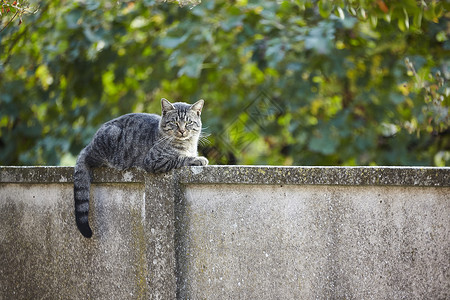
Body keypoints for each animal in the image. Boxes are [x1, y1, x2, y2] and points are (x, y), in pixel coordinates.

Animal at [73, 99, 208, 238]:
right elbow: (181, 158)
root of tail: (89, 144)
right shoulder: (154, 161)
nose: (182, 131)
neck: (187, 145)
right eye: (174, 122)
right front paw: (198, 159)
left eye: (188, 122)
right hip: (110, 138)